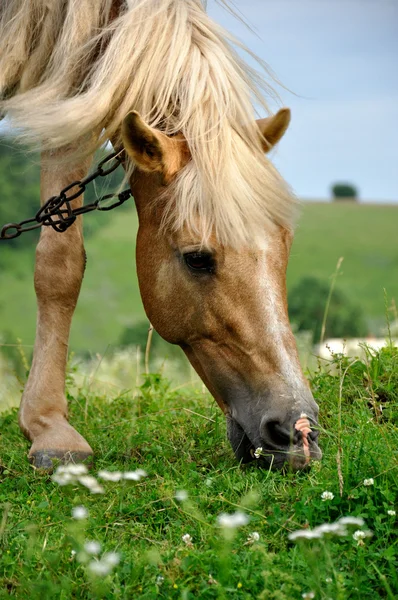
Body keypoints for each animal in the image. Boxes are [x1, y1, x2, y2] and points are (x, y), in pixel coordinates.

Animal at [0, 1, 322, 474]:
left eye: (286, 243)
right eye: (197, 258)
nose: (297, 431)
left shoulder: (73, 93)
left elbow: (63, 260)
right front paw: (48, 427)